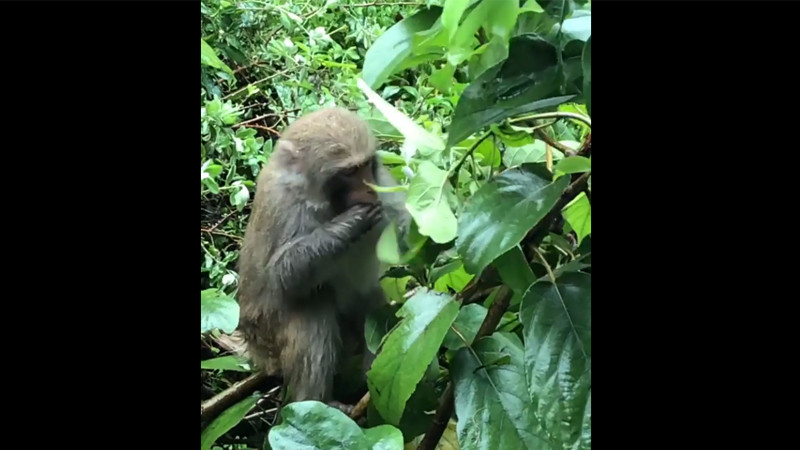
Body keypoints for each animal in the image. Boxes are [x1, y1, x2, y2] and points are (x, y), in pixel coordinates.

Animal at [233, 107, 406, 410]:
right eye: (349, 172)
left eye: (366, 165)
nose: (371, 189)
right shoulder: (284, 203)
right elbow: (284, 273)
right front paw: (349, 224)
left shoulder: (384, 183)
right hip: (268, 341)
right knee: (314, 301)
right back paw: (316, 403)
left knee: (369, 300)